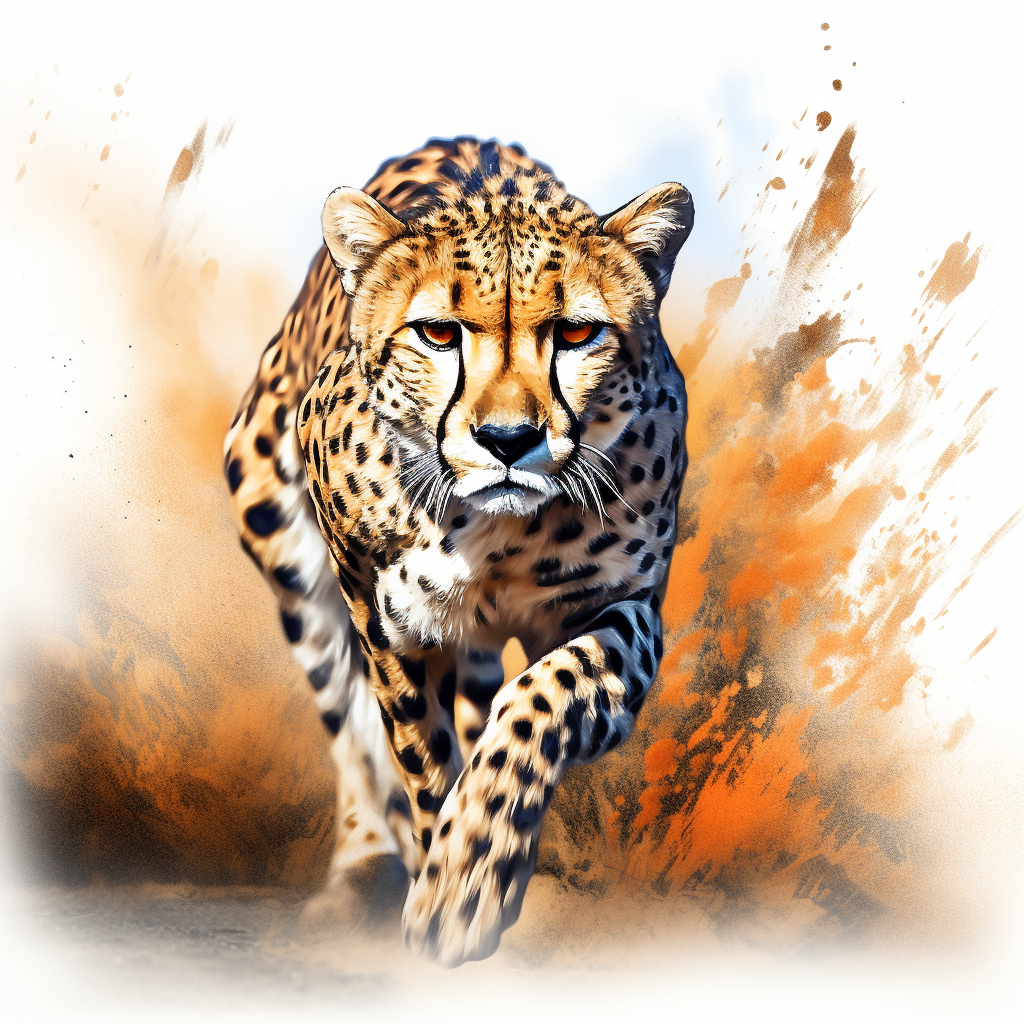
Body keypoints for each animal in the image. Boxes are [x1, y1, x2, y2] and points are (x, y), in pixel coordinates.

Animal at [223, 136, 693, 966]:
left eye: (578, 333)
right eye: (438, 333)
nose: (507, 440)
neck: (502, 535)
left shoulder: (626, 606)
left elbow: (541, 697)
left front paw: (469, 872)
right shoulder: (385, 614)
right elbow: (417, 748)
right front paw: (440, 872)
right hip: (280, 538)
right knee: (345, 720)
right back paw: (362, 867)